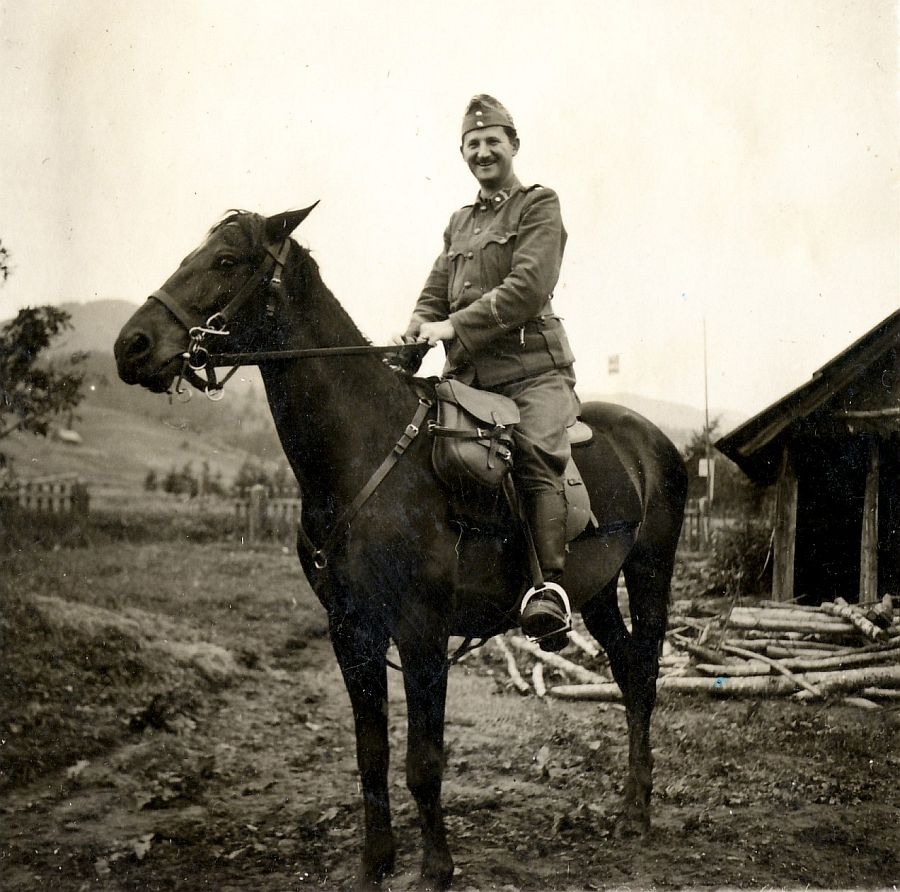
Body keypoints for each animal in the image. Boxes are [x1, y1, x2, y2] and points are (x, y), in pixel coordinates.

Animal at [114, 205, 687, 889]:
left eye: (226, 261)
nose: (130, 347)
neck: (363, 452)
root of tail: (653, 439)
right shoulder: (351, 629)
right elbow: (371, 754)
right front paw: (374, 863)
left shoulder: (421, 631)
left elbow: (424, 760)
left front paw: (435, 868)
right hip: (595, 592)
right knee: (627, 673)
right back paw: (632, 804)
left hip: (650, 573)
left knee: (645, 675)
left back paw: (636, 813)